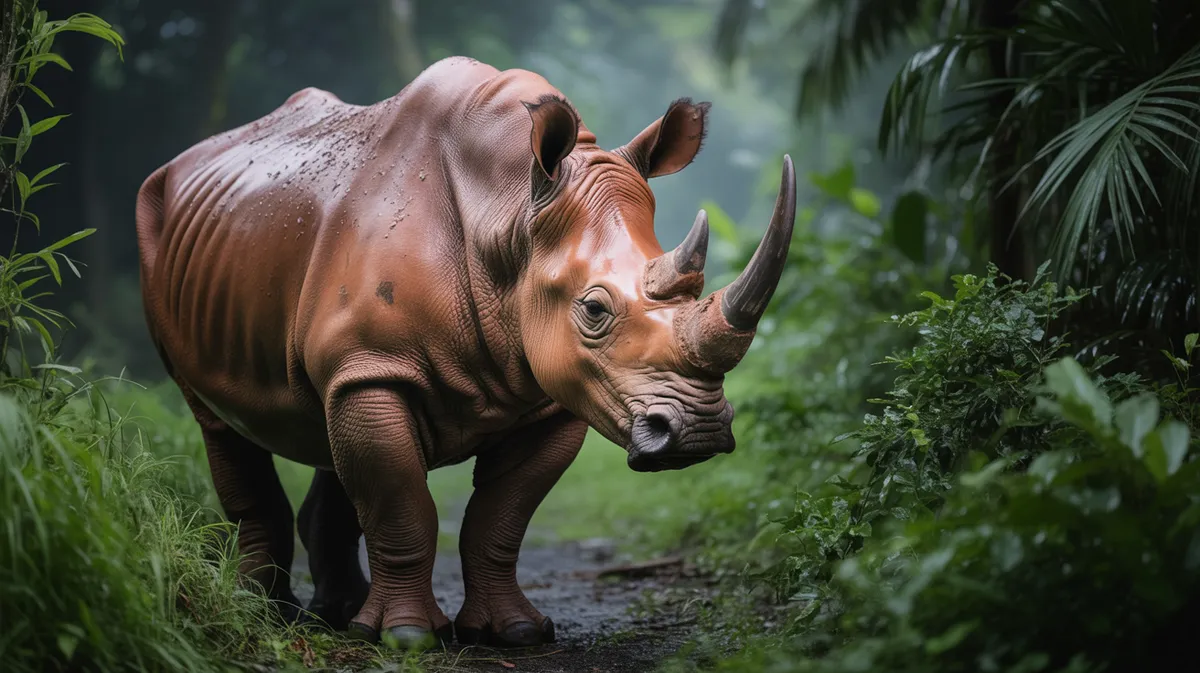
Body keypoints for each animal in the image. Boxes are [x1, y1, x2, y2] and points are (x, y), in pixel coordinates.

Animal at [136, 56, 795, 649]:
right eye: (594, 311)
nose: (700, 432)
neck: (508, 215)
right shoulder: (377, 368)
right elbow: (401, 504)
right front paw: (404, 637)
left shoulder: (548, 392)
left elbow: (499, 518)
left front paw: (517, 633)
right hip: (161, 229)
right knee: (217, 421)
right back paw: (269, 612)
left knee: (325, 422)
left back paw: (336, 616)